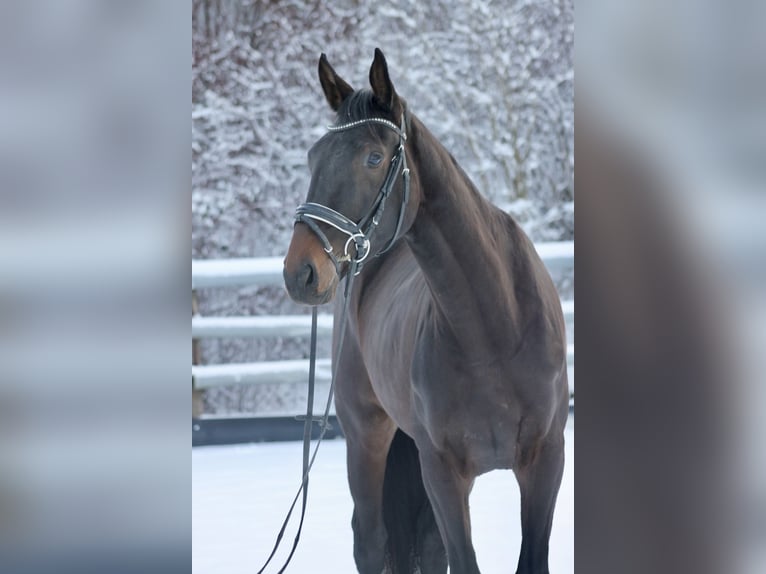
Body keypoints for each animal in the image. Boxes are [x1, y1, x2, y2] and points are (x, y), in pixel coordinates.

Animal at [283, 49, 568, 574]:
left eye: (374, 158)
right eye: (314, 156)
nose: (301, 271)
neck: (493, 328)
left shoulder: (545, 461)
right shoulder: (441, 470)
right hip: (367, 436)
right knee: (370, 541)